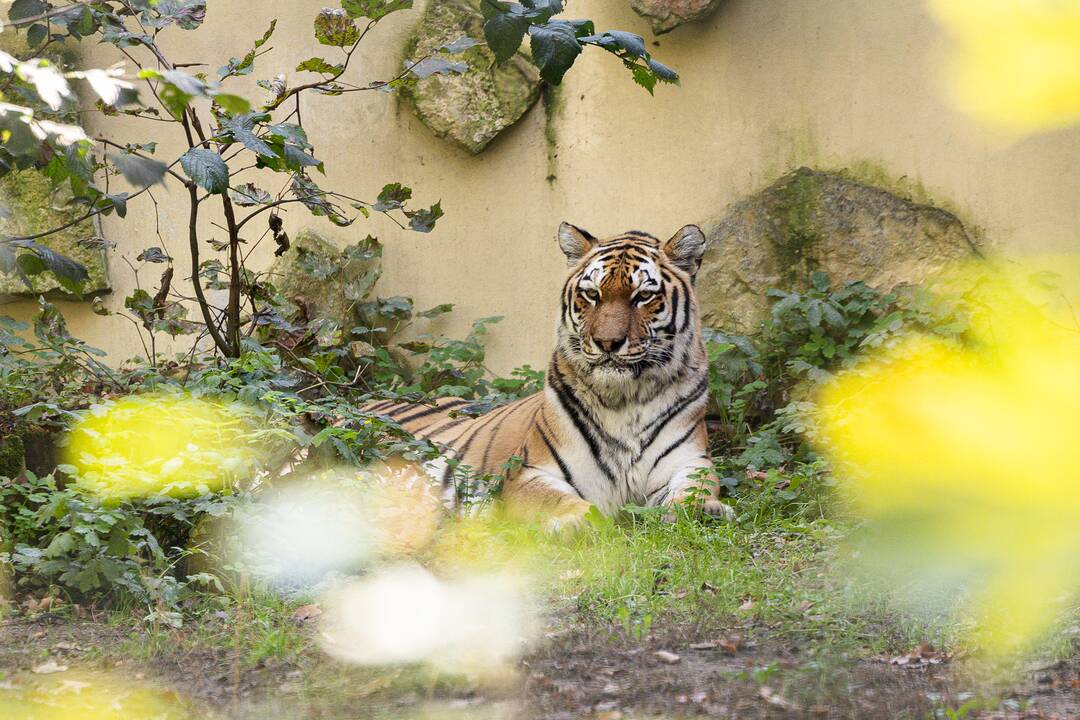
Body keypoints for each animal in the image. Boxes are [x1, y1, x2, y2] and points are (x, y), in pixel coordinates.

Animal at [365, 220, 734, 528]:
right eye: (592, 294)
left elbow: (694, 492)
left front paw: (708, 510)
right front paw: (574, 524)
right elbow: (564, 502)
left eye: (643, 296)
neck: (623, 401)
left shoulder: (690, 462)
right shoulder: (529, 473)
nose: (607, 342)